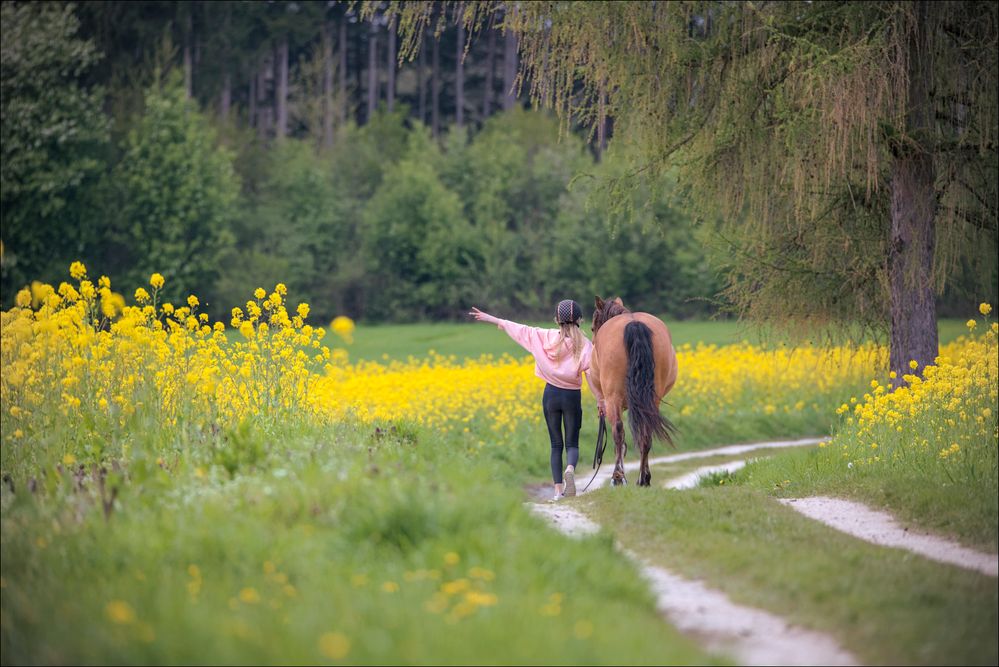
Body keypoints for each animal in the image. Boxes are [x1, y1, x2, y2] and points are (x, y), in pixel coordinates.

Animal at [588, 298, 676, 486]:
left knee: (618, 431)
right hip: (651, 400)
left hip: (613, 398)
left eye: (592, 327)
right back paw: (643, 479)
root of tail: (634, 324)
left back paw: (618, 476)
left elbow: (619, 440)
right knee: (646, 434)